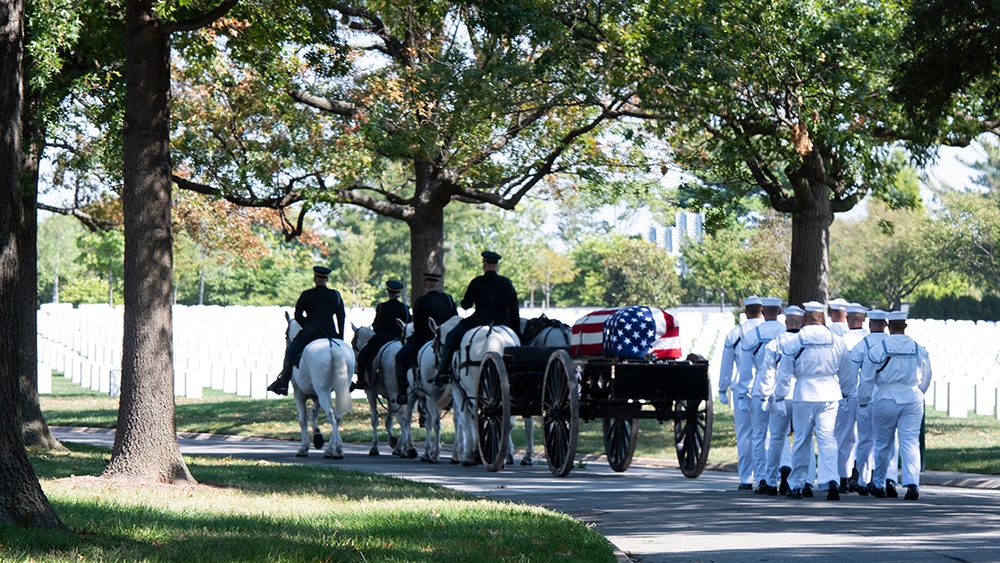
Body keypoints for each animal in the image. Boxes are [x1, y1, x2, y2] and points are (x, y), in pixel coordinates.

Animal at [284, 316, 354, 460]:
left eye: (285, 334)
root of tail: (332, 345)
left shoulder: (299, 395)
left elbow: (303, 419)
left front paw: (304, 447)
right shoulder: (316, 396)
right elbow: (313, 415)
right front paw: (318, 437)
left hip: (323, 392)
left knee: (331, 414)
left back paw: (337, 449)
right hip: (335, 391)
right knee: (337, 416)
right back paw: (332, 449)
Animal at [352, 326, 414, 458]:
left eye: (352, 343)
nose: (355, 368)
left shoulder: (371, 392)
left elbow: (375, 419)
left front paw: (374, 447)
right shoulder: (389, 396)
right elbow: (389, 421)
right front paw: (394, 442)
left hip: (395, 394)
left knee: (402, 417)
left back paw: (406, 448)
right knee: (406, 418)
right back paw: (405, 446)